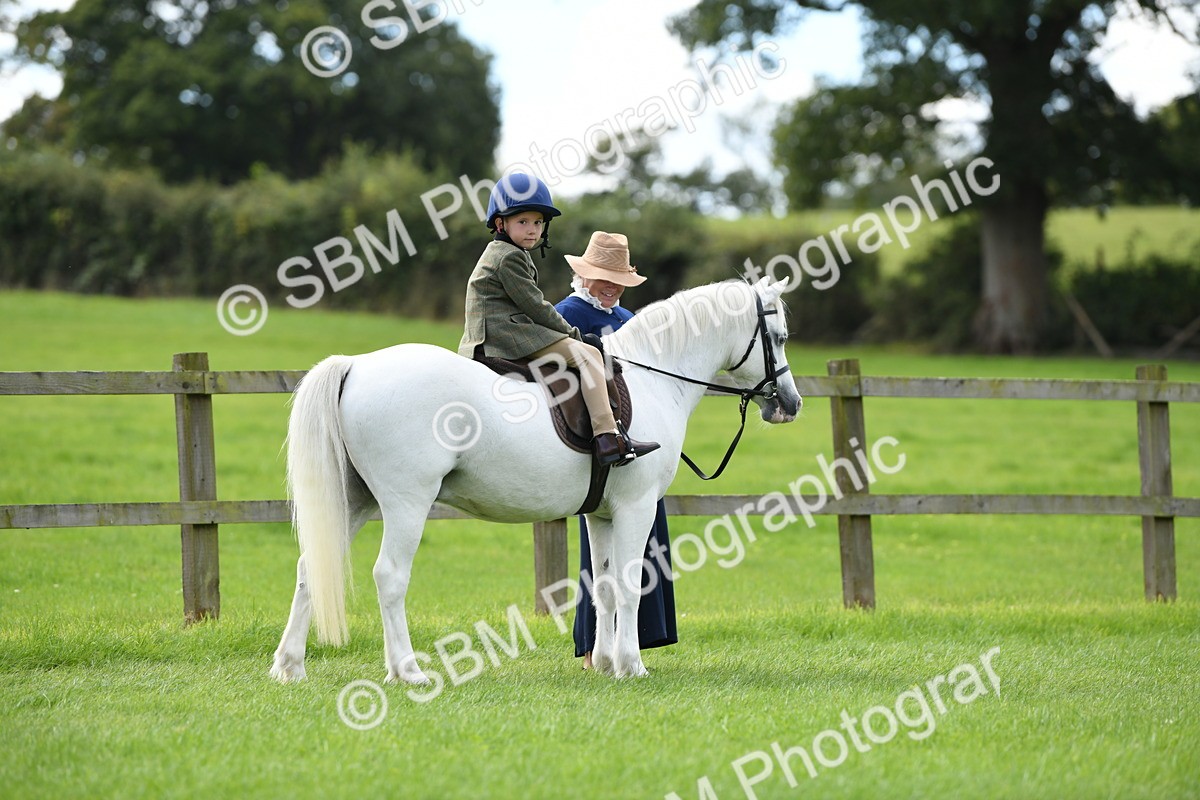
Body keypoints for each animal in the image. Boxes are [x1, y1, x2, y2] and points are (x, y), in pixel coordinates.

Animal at [270, 276, 801, 683]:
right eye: (777, 336)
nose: (790, 404)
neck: (654, 377)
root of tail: (356, 366)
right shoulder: (636, 507)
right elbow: (631, 584)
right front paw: (631, 665)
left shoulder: (602, 515)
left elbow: (604, 586)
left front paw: (604, 663)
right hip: (406, 504)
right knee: (390, 576)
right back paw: (407, 671)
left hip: (354, 502)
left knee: (309, 567)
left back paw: (290, 666)